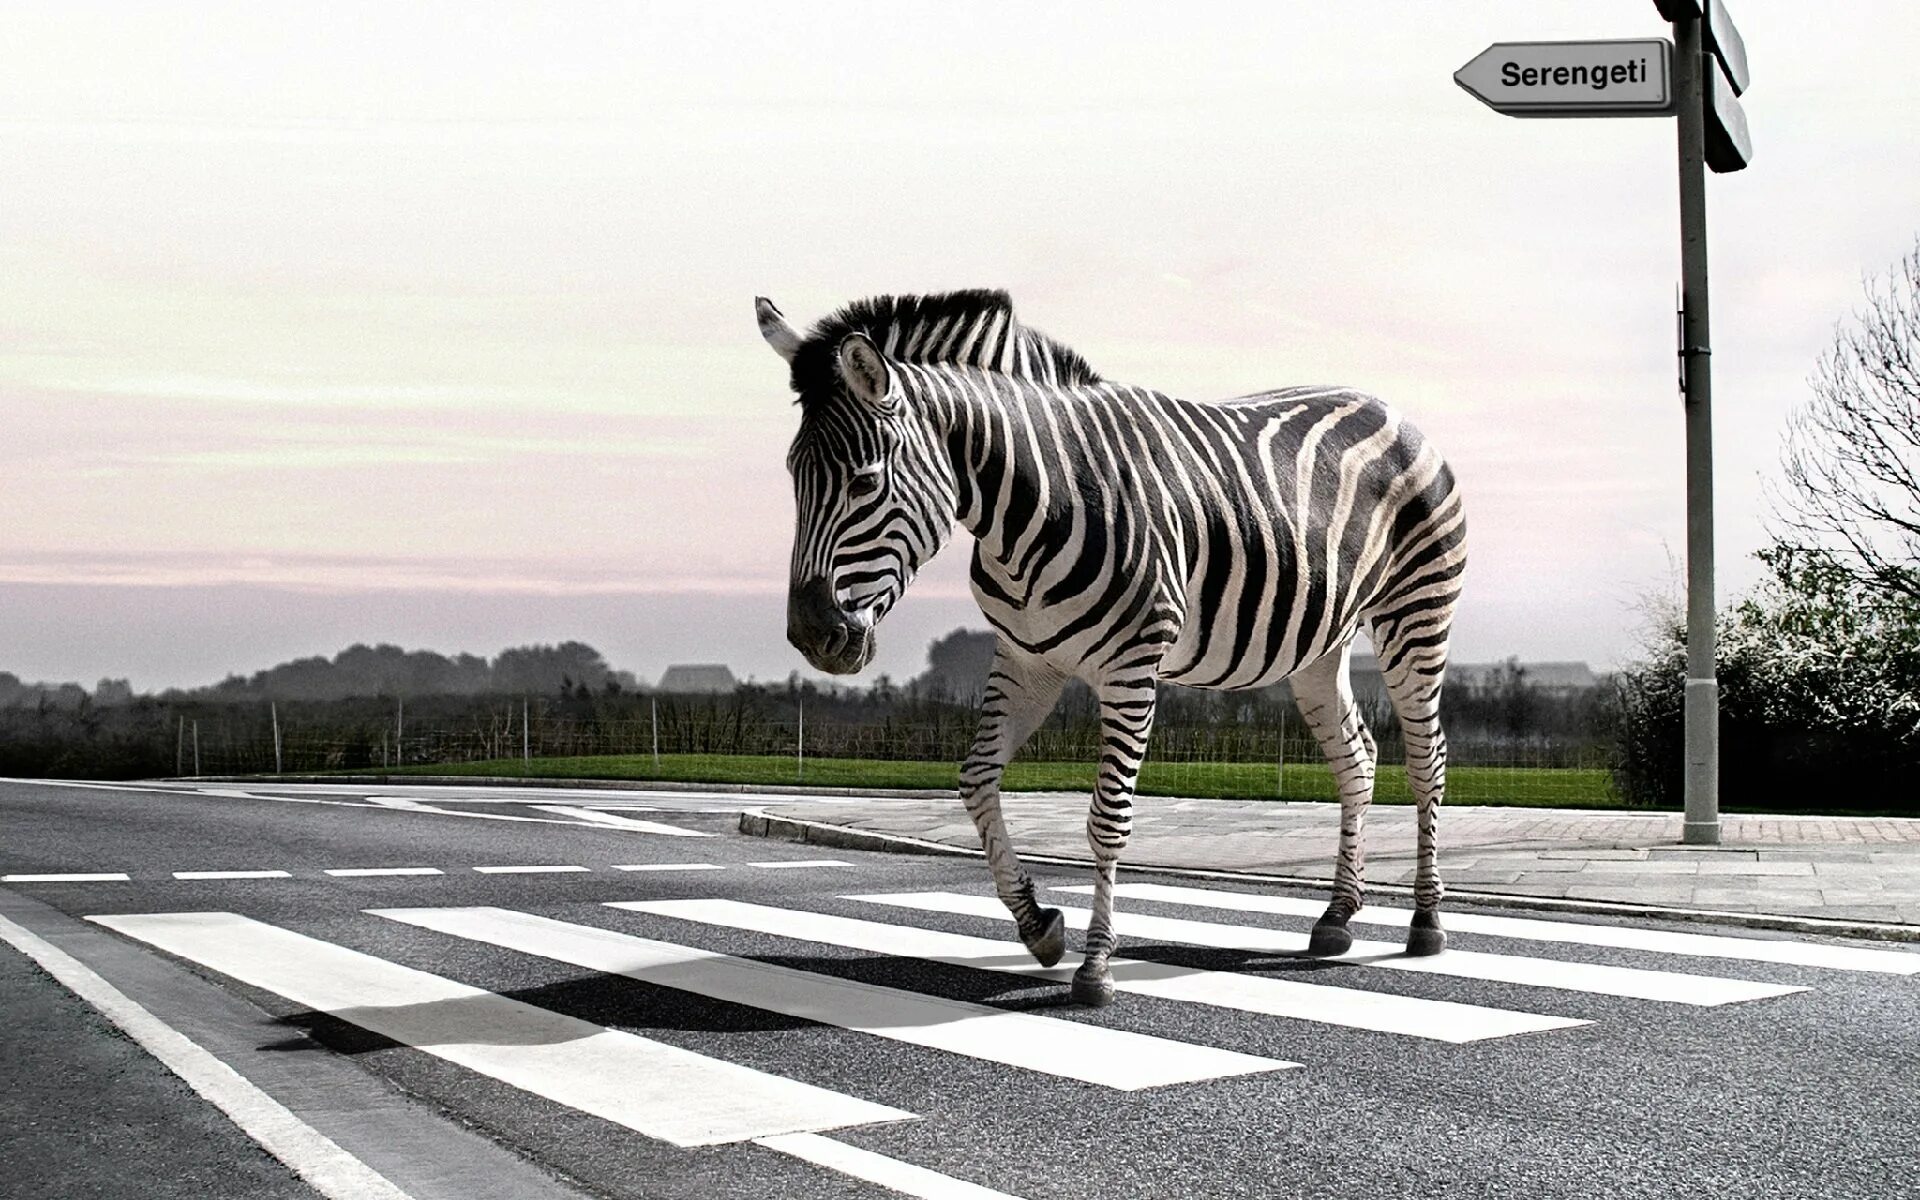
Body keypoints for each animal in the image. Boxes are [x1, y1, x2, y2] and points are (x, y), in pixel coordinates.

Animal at [759, 288, 1466, 1007]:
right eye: (792, 475)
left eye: (864, 482)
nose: (812, 635)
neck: (1034, 507)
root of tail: (1388, 409)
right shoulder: (1026, 661)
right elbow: (976, 782)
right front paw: (1039, 925)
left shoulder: (1132, 666)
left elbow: (1108, 817)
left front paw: (1096, 965)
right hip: (1320, 646)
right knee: (1358, 759)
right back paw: (1337, 915)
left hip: (1416, 614)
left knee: (1427, 760)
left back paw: (1426, 920)